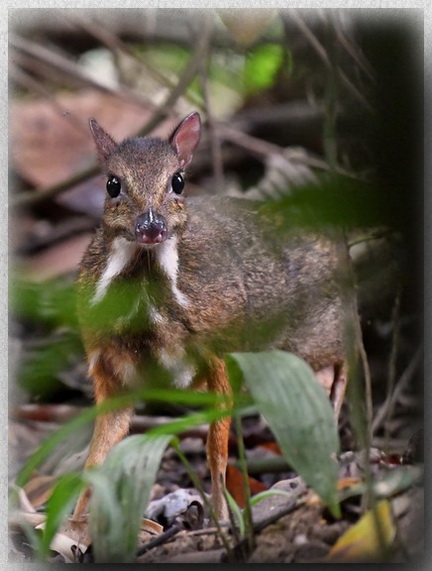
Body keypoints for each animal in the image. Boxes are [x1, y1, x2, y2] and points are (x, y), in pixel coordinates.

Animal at [71, 110, 352, 524]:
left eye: (178, 181)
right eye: (112, 184)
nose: (151, 227)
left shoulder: (220, 352)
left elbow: (216, 449)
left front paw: (219, 518)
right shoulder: (106, 366)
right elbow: (96, 460)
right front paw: (72, 525)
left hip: (316, 336)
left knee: (344, 360)